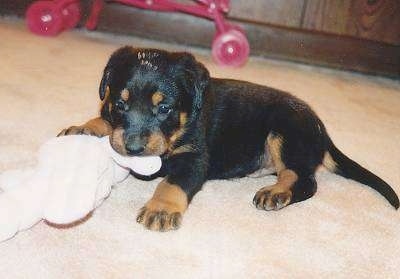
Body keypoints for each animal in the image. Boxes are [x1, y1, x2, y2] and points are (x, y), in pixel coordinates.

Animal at [57, 47, 398, 232]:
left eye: (164, 108)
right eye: (120, 104)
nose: (133, 148)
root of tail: (321, 127)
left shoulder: (196, 157)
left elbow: (172, 183)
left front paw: (161, 210)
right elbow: (102, 118)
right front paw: (84, 127)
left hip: (285, 129)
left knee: (304, 179)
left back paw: (276, 193)